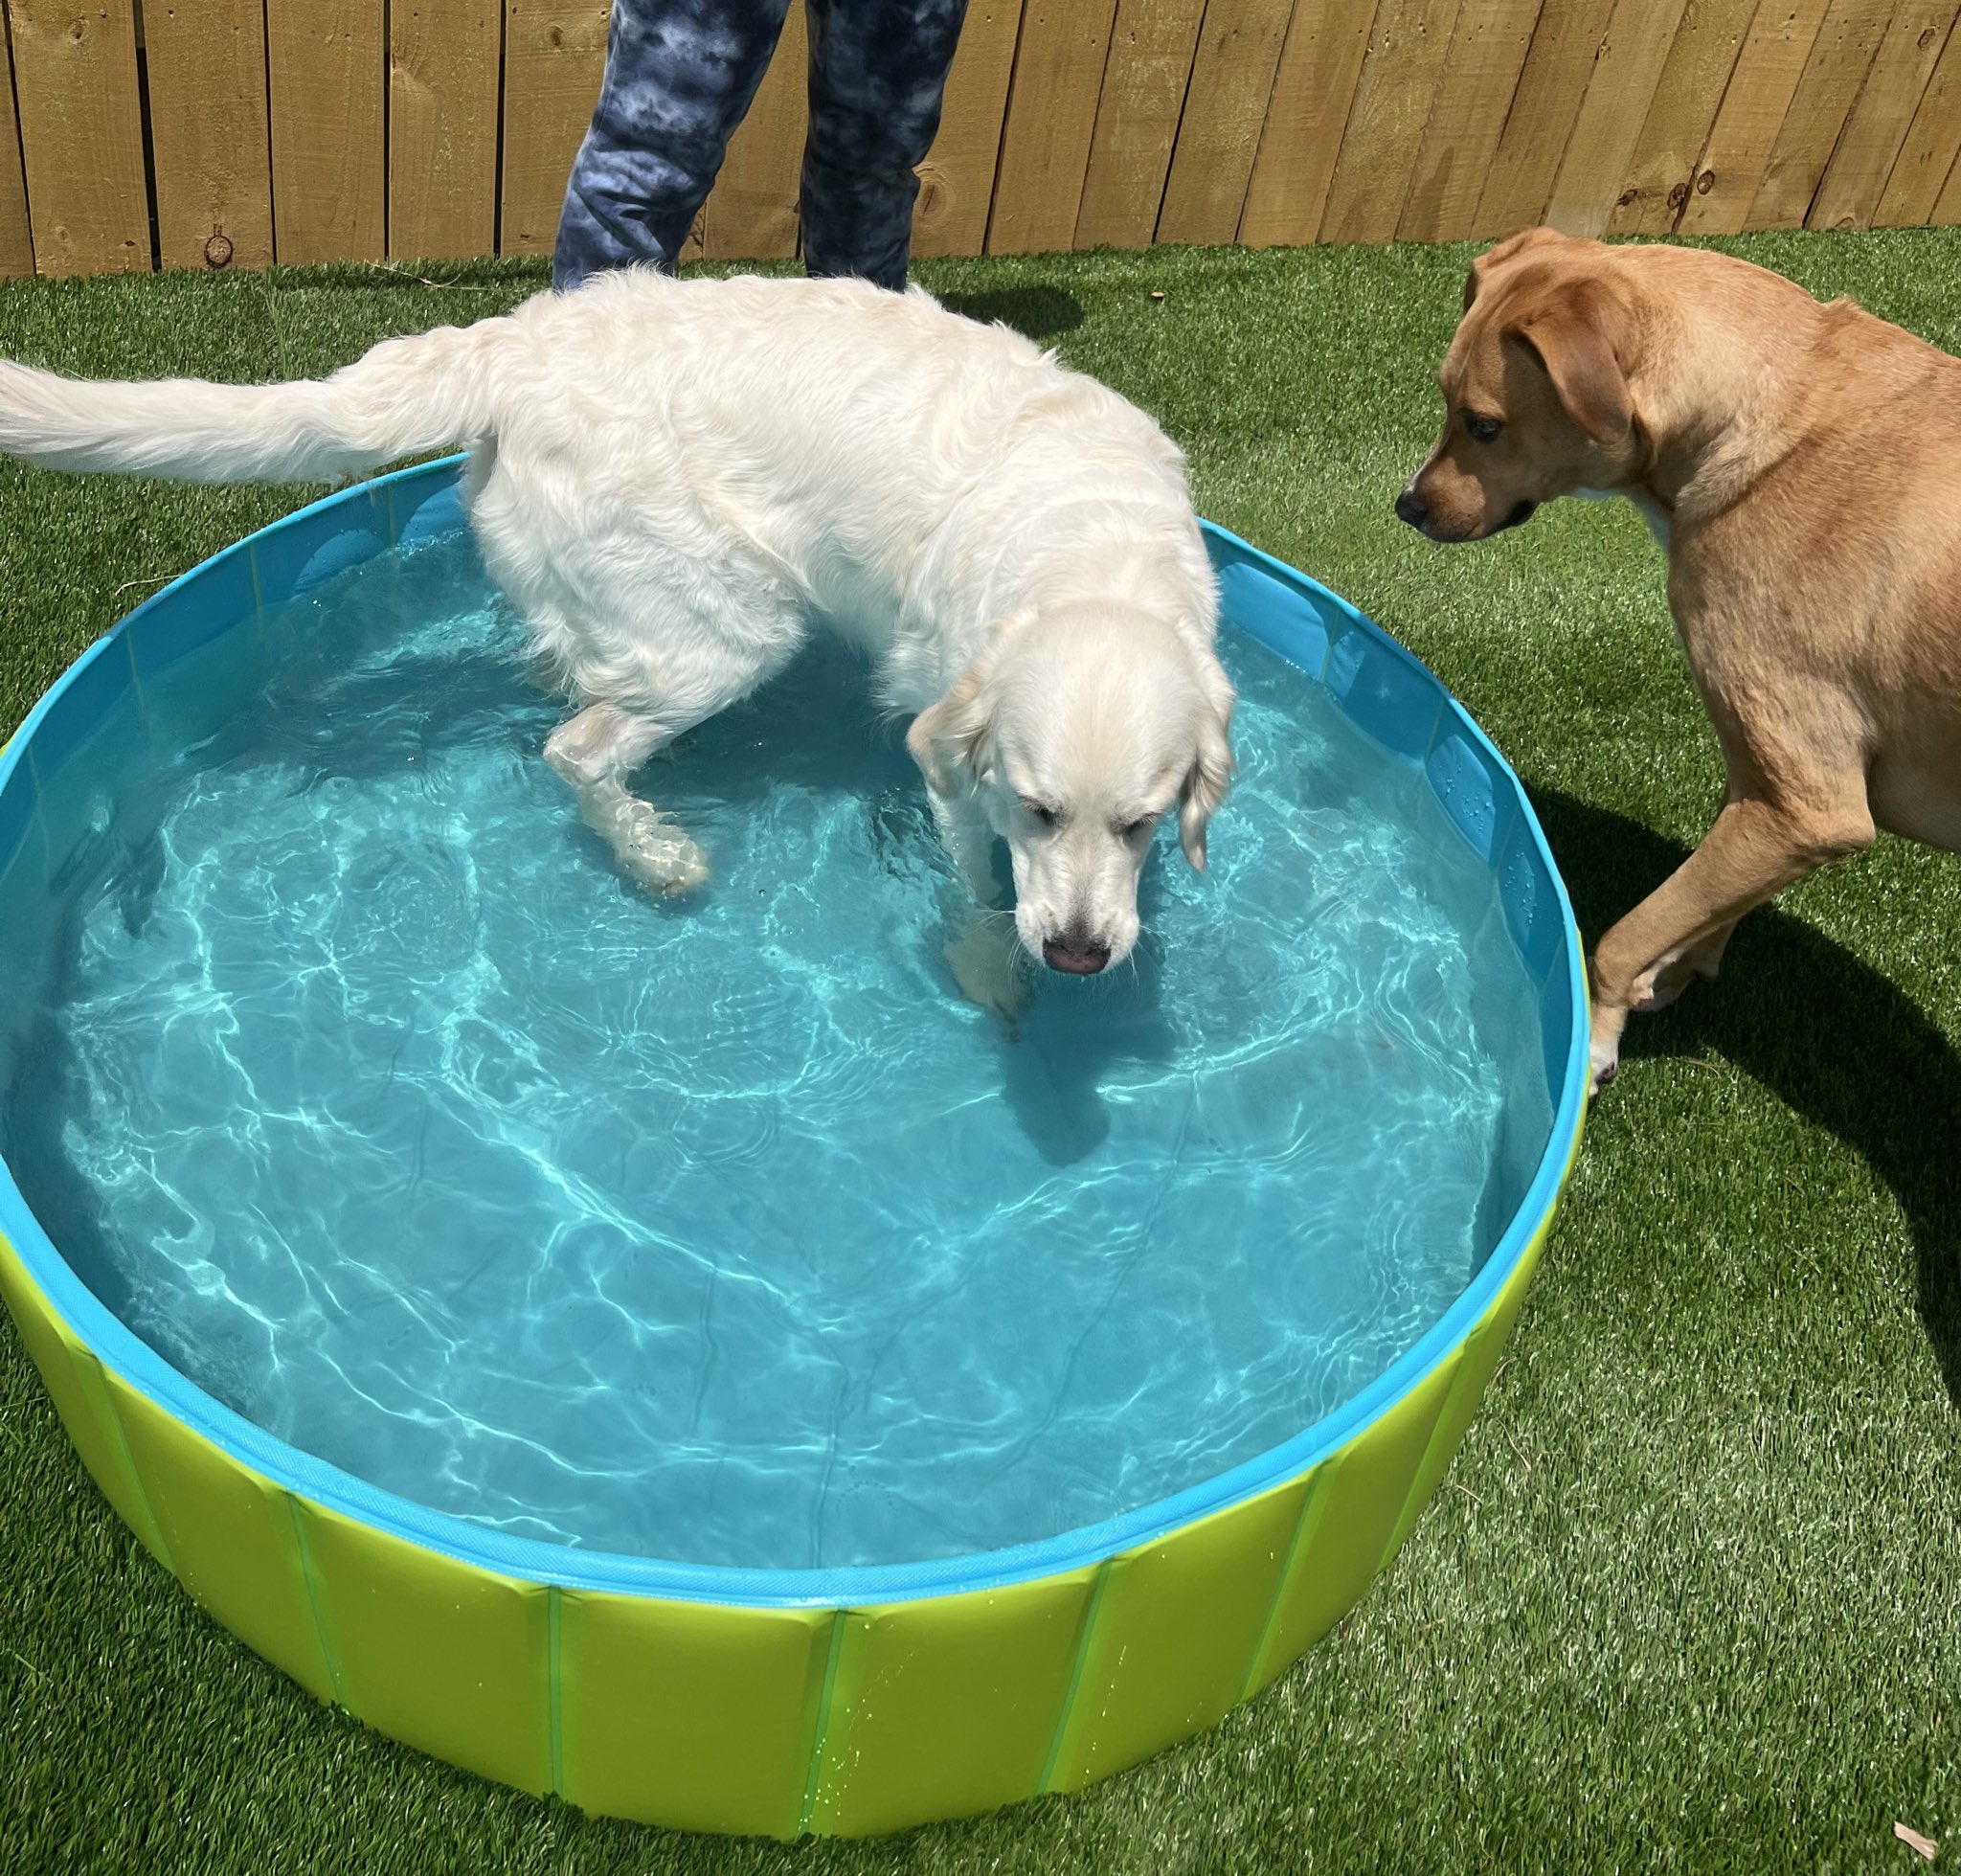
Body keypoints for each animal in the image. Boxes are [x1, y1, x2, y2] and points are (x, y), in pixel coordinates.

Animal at [0, 270, 1223, 1004]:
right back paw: (655, 851)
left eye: (1142, 824)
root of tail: (512, 343)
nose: (1078, 953)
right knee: (576, 750)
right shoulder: (952, 743)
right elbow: (973, 878)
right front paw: (990, 964)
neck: (1088, 551)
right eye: (1036, 809)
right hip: (726, 625)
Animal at [1396, 227, 1961, 1090]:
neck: (1757, 418)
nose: (1408, 505)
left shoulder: (1811, 803)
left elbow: (1624, 934)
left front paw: (1598, 1039)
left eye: (1483, 424)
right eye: (1443, 398)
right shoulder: (1766, 786)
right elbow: (1701, 905)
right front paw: (1674, 971)